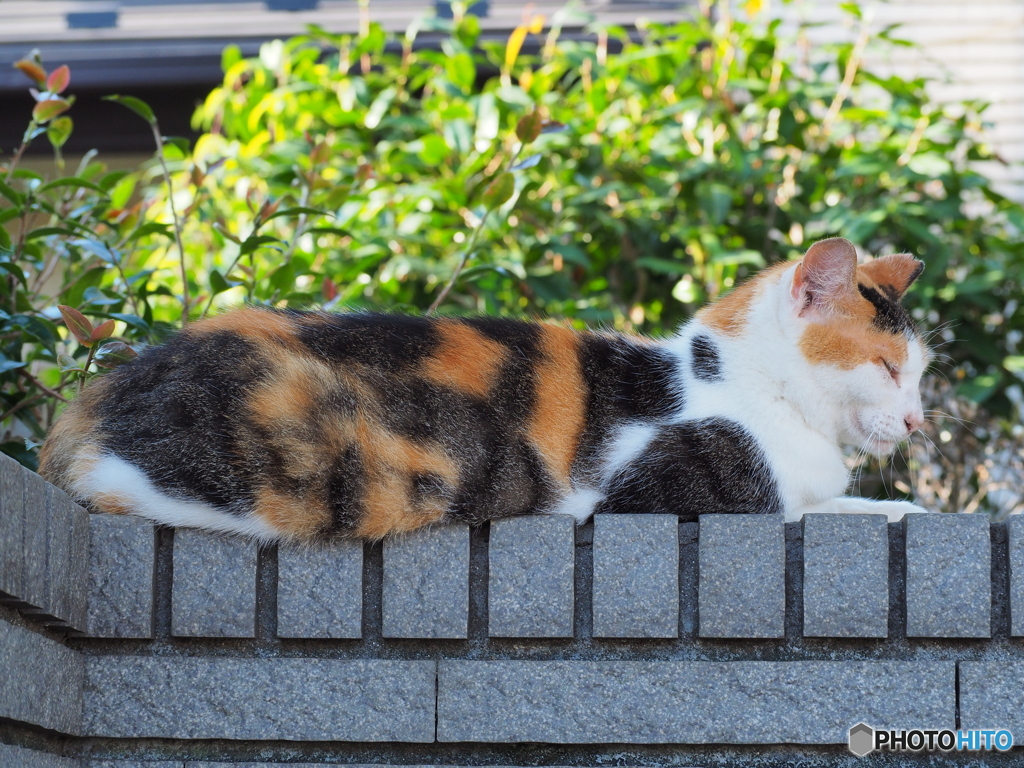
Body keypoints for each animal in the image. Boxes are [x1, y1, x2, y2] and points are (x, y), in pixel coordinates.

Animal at [37, 237, 929, 544]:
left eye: (919, 375)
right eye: (889, 369)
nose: (918, 421)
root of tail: (91, 402)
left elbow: (847, 500)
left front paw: (906, 504)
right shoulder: (655, 494)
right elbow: (817, 508)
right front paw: (894, 509)